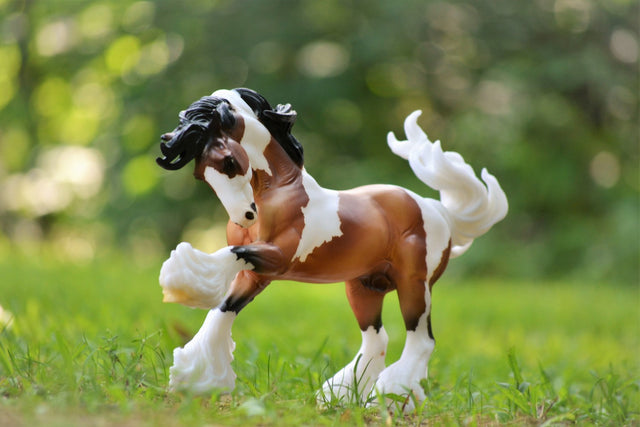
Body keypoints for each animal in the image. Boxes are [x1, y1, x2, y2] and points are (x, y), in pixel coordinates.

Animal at [156, 88, 510, 412]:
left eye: (229, 162)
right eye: (200, 174)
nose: (244, 216)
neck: (282, 193)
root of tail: (439, 211)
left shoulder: (278, 259)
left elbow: (230, 255)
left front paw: (181, 282)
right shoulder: (258, 274)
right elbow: (225, 307)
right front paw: (194, 379)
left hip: (415, 284)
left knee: (421, 340)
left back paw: (392, 398)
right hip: (365, 286)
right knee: (377, 338)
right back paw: (341, 397)